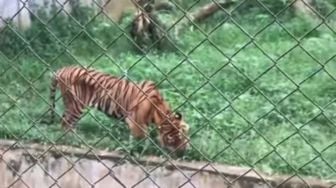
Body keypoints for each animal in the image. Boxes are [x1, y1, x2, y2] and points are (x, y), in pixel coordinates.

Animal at [47, 65, 190, 152]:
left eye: (184, 136)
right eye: (176, 138)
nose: (183, 151)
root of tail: (62, 69)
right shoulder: (136, 123)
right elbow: (143, 139)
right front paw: (145, 149)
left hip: (71, 105)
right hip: (77, 105)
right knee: (66, 123)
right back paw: (74, 140)